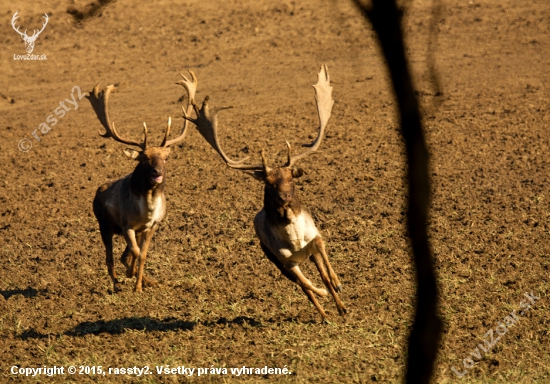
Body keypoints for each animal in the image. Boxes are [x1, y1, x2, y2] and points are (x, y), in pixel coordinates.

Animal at [88, 70, 201, 292]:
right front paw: (130, 277)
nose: (157, 172)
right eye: (144, 158)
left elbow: (142, 255)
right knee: (110, 258)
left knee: (123, 255)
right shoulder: (126, 225)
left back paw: (147, 280)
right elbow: (135, 252)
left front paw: (139, 285)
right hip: (103, 223)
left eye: (165, 158)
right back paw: (117, 284)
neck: (146, 210)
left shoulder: (152, 226)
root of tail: (98, 191)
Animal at [185, 65, 350, 318]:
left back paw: (340, 306)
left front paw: (337, 282)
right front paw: (323, 292)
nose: (285, 196)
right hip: (273, 258)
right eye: (269, 183)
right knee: (304, 286)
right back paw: (323, 313)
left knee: (319, 271)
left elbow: (321, 249)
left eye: (290, 179)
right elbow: (306, 284)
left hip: (307, 256)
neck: (293, 238)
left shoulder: (313, 237)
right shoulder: (284, 259)